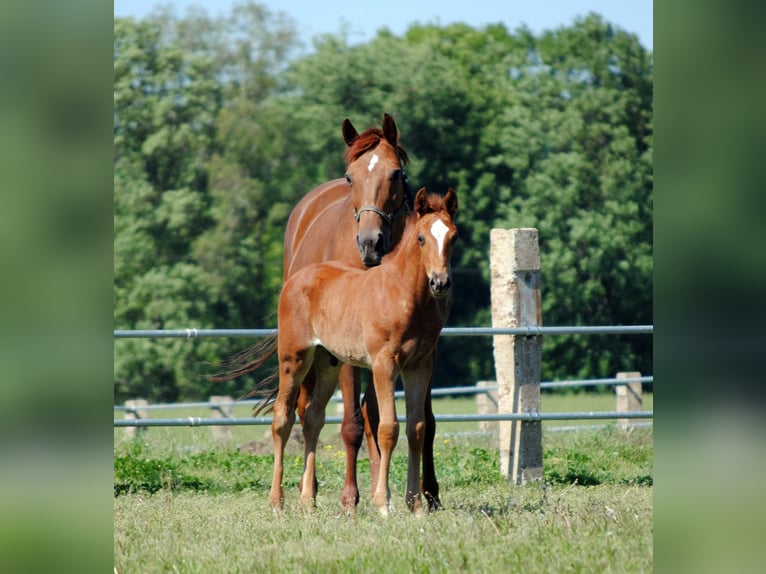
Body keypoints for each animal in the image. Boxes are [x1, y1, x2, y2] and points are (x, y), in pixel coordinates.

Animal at [268, 187, 458, 516]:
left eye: (454, 237)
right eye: (421, 238)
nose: (440, 282)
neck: (403, 294)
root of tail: (295, 279)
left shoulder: (419, 365)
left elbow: (416, 429)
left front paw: (415, 504)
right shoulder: (384, 363)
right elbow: (388, 428)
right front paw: (383, 503)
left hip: (328, 363)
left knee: (313, 417)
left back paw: (307, 501)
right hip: (294, 358)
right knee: (282, 417)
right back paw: (277, 501)